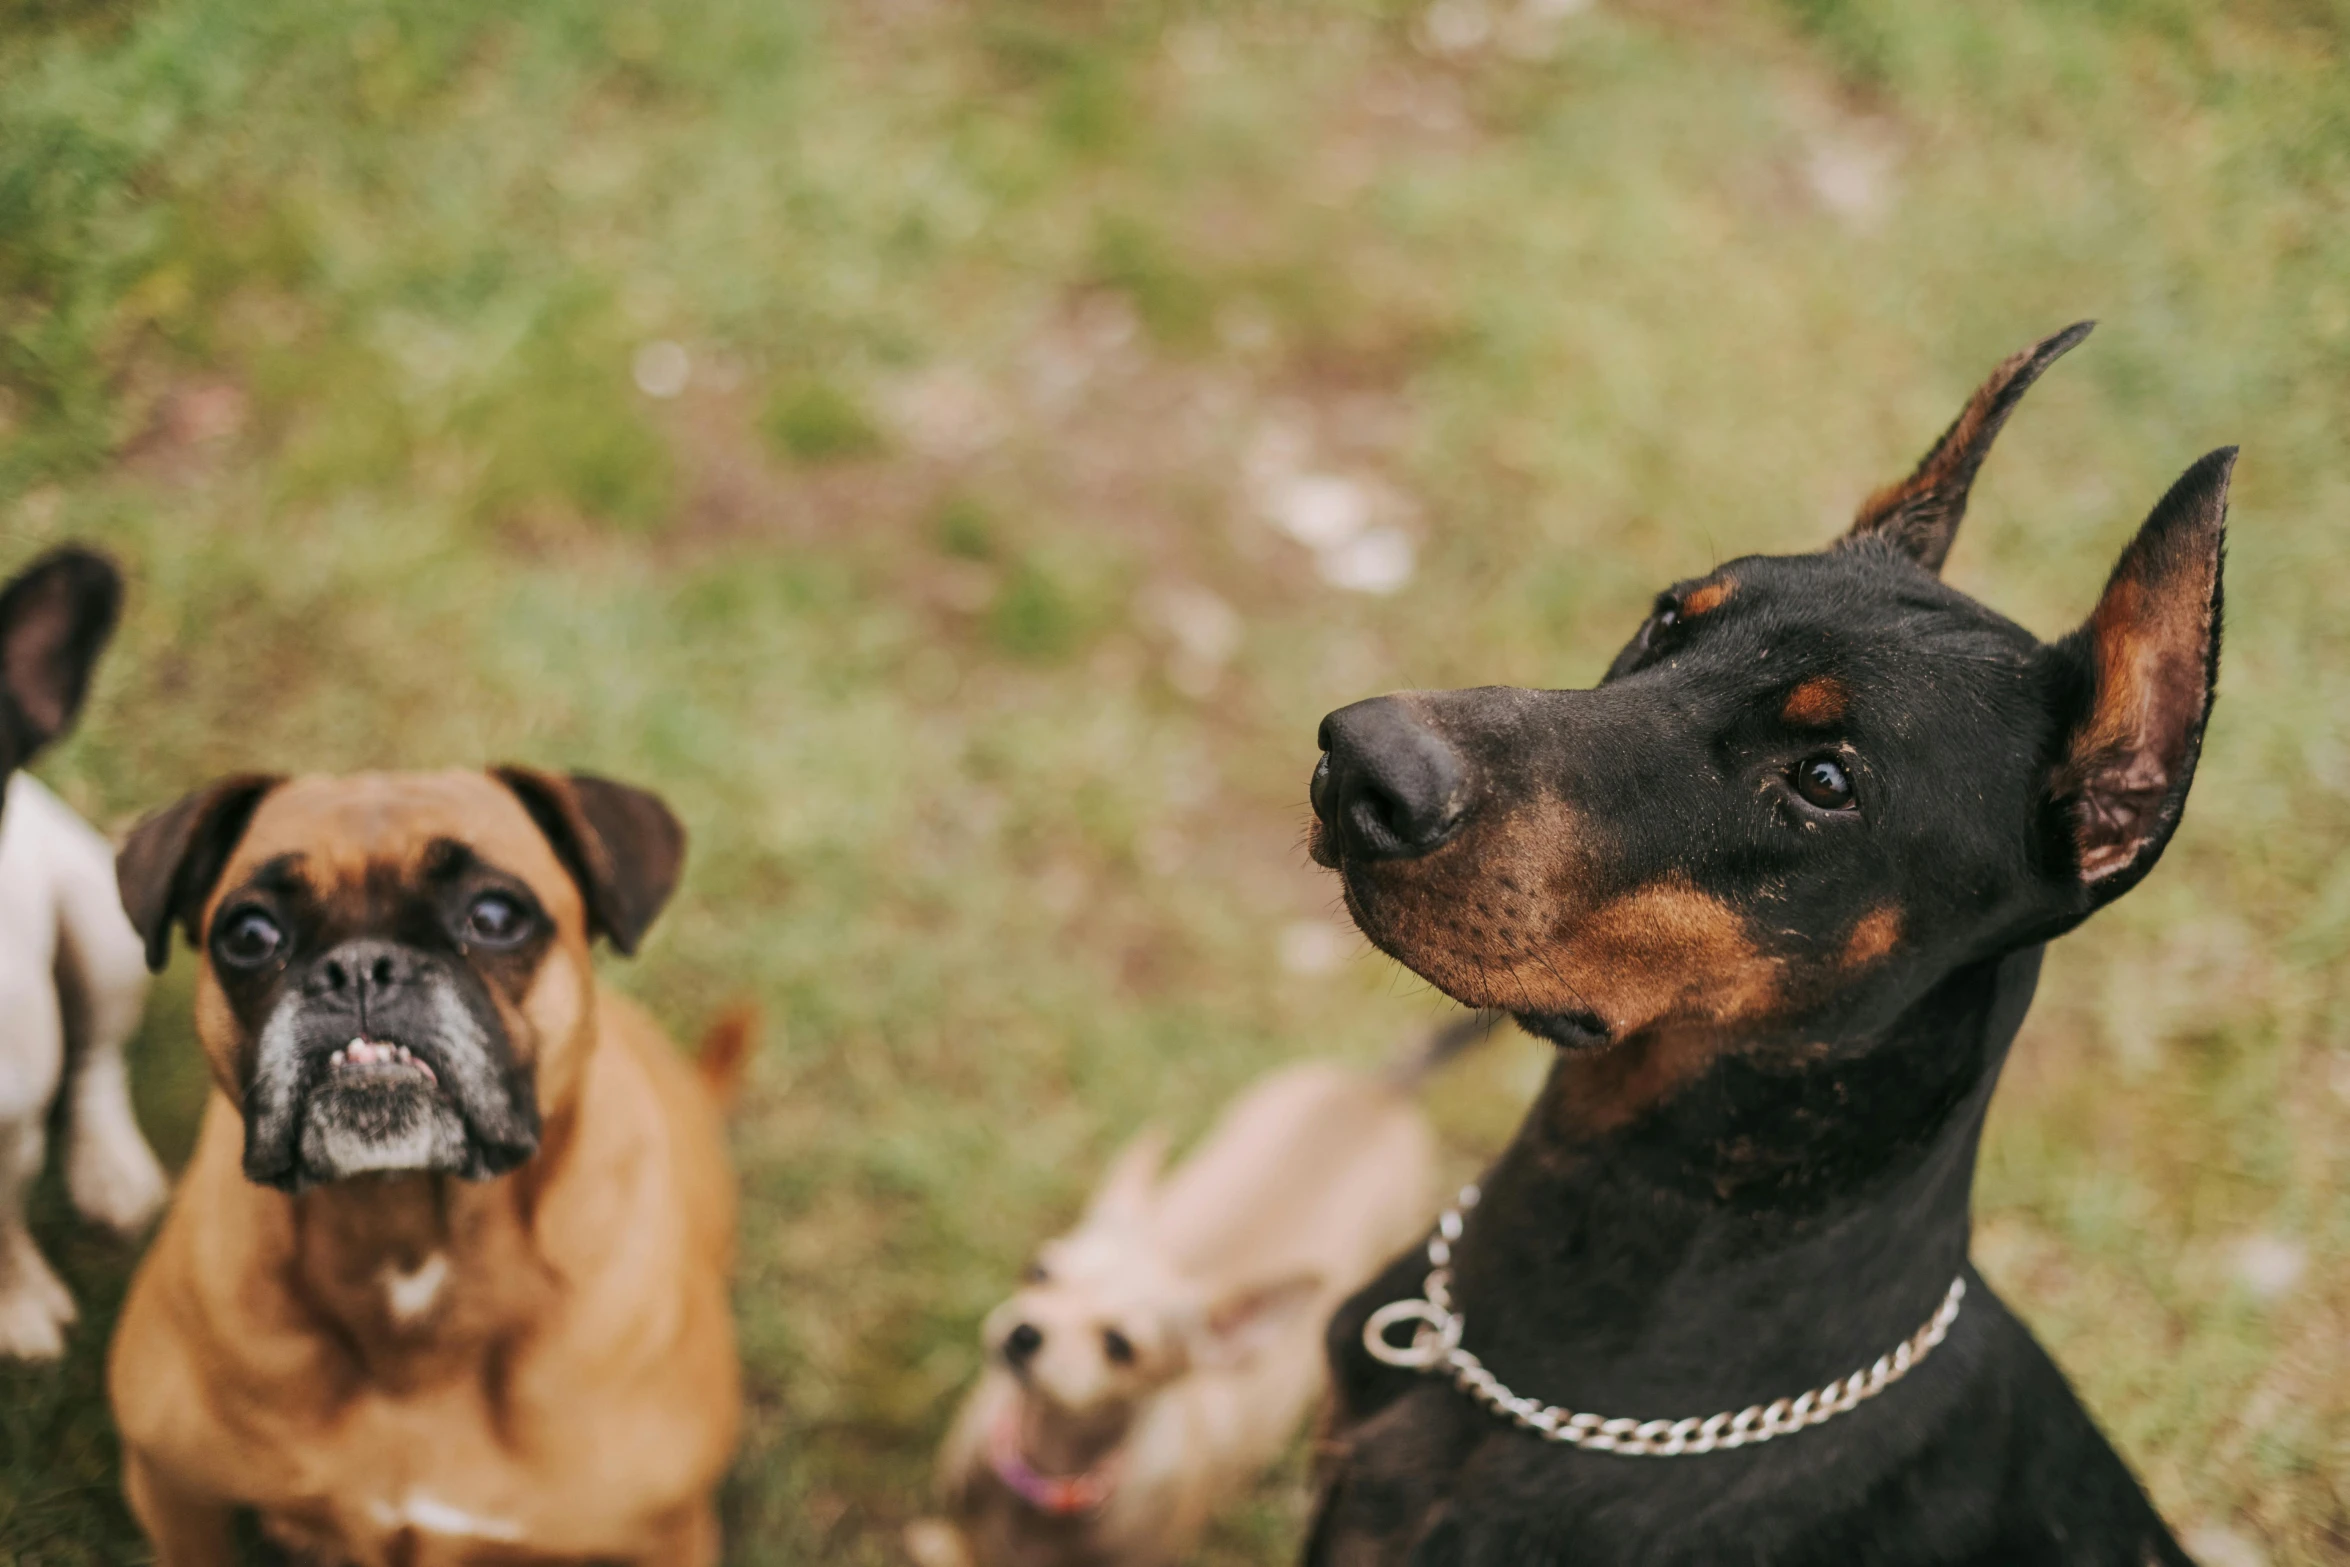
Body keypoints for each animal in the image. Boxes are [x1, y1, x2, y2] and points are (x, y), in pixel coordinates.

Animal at [105, 770, 747, 1567]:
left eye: (496, 915)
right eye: (249, 934)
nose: (358, 966)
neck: (409, 1239)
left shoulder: (668, 1534)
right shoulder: (171, 1487)